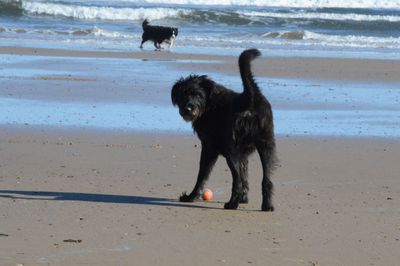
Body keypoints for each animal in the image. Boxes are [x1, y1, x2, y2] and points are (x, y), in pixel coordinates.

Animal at [170, 48, 276, 211]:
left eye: (198, 95)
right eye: (183, 95)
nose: (188, 108)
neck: (209, 104)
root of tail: (249, 98)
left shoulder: (209, 148)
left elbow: (202, 174)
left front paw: (190, 197)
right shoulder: (243, 154)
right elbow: (245, 173)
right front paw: (244, 198)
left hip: (231, 152)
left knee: (237, 180)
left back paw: (232, 204)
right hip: (266, 145)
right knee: (266, 180)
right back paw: (267, 205)